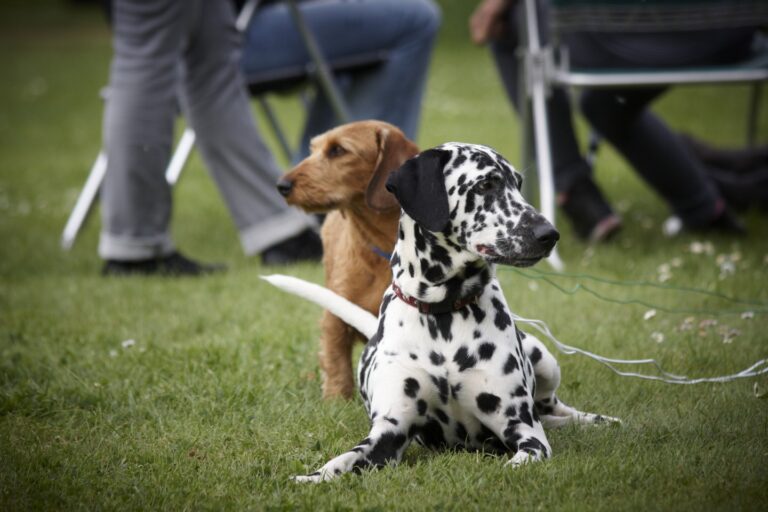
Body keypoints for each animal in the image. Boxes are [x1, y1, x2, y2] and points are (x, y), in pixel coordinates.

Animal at [276, 121, 420, 400]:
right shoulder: (334, 315)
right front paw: (336, 399)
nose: (282, 185)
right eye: (313, 149)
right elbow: (336, 360)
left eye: (338, 150)